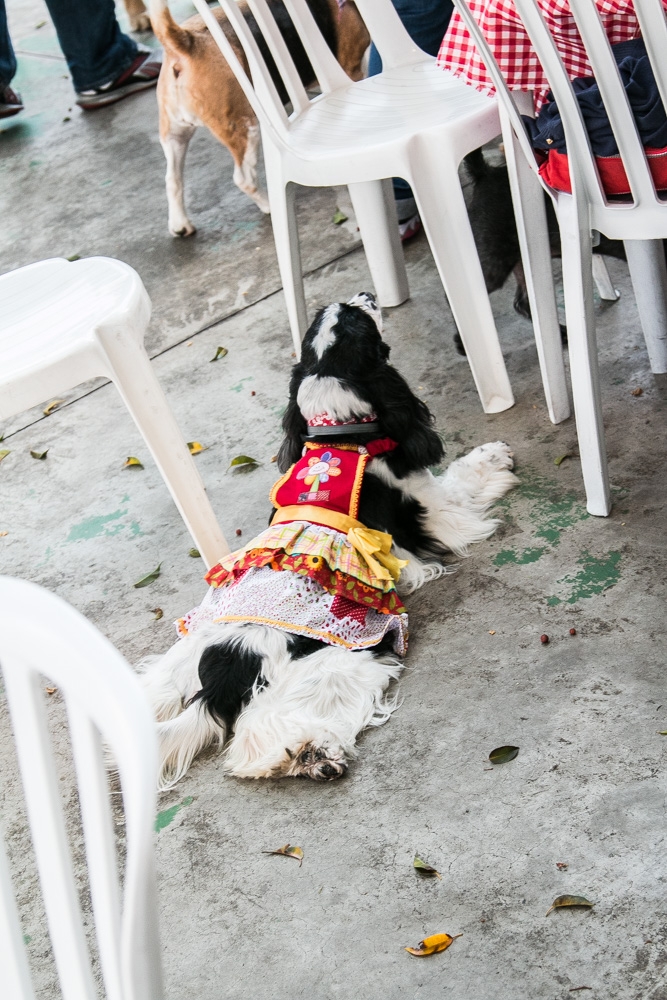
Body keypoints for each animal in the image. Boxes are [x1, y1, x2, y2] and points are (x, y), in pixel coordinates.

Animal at [140, 292, 516, 788]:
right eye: (358, 320)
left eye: (325, 318)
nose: (365, 295)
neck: (339, 433)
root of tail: (228, 661)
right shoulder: (434, 511)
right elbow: (462, 480)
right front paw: (494, 455)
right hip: (339, 661)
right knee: (259, 735)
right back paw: (312, 755)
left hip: (176, 662)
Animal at [149, 0, 370, 237]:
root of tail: (186, 40)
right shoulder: (353, 67)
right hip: (245, 128)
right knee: (244, 178)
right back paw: (268, 206)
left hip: (175, 135)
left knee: (172, 180)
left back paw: (180, 224)